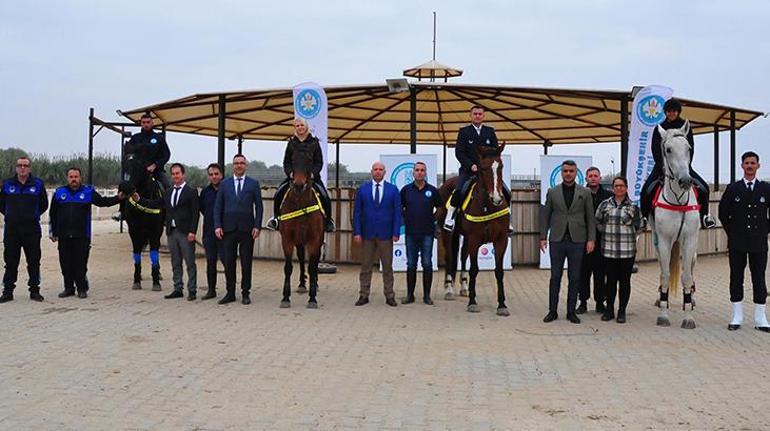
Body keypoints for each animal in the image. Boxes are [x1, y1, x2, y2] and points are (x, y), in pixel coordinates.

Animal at [278, 155, 322, 310]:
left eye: (309, 162)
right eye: (293, 161)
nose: (298, 185)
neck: (301, 204)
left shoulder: (315, 239)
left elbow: (313, 267)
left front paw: (313, 298)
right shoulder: (287, 239)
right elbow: (288, 267)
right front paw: (285, 298)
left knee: (314, 262)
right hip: (299, 241)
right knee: (302, 258)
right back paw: (302, 285)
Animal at [448, 145, 508, 318]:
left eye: (500, 166)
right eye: (483, 168)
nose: (497, 198)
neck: (488, 206)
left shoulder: (501, 240)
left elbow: (499, 271)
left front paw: (502, 305)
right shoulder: (474, 239)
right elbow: (474, 269)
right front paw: (472, 302)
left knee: (462, 256)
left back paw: (463, 288)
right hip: (450, 235)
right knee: (450, 257)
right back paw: (449, 289)